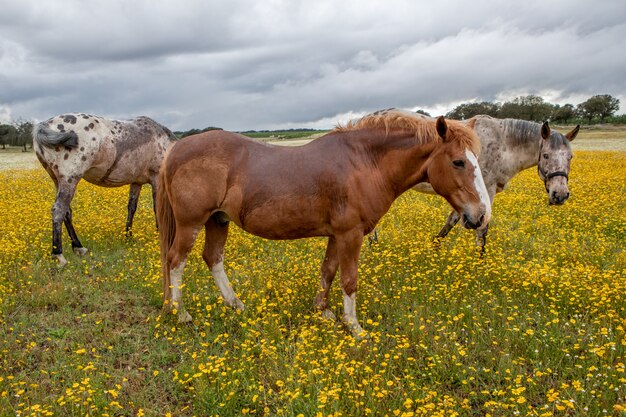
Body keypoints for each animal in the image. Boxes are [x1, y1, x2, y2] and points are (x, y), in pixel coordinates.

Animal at [33, 112, 177, 264]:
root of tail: (45, 125)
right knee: (59, 210)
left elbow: (132, 208)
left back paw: (78, 247)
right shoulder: (156, 180)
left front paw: (128, 237)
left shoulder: (136, 183)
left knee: (67, 212)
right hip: (69, 179)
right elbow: (157, 208)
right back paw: (59, 254)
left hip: (57, 180)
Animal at [158, 109, 490, 334]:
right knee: (176, 261)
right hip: (191, 224)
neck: (364, 163)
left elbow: (328, 271)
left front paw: (323, 311)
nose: (482, 215)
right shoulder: (351, 234)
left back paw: (235, 304)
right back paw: (181, 313)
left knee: (212, 258)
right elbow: (349, 279)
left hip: (218, 220)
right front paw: (354, 327)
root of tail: (176, 149)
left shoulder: (336, 235)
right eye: (458, 162)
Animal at [410, 114, 580, 250]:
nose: (560, 195)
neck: (503, 145)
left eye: (570, 156)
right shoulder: (485, 192)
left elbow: (452, 220)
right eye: (545, 155)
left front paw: (435, 247)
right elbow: (482, 229)